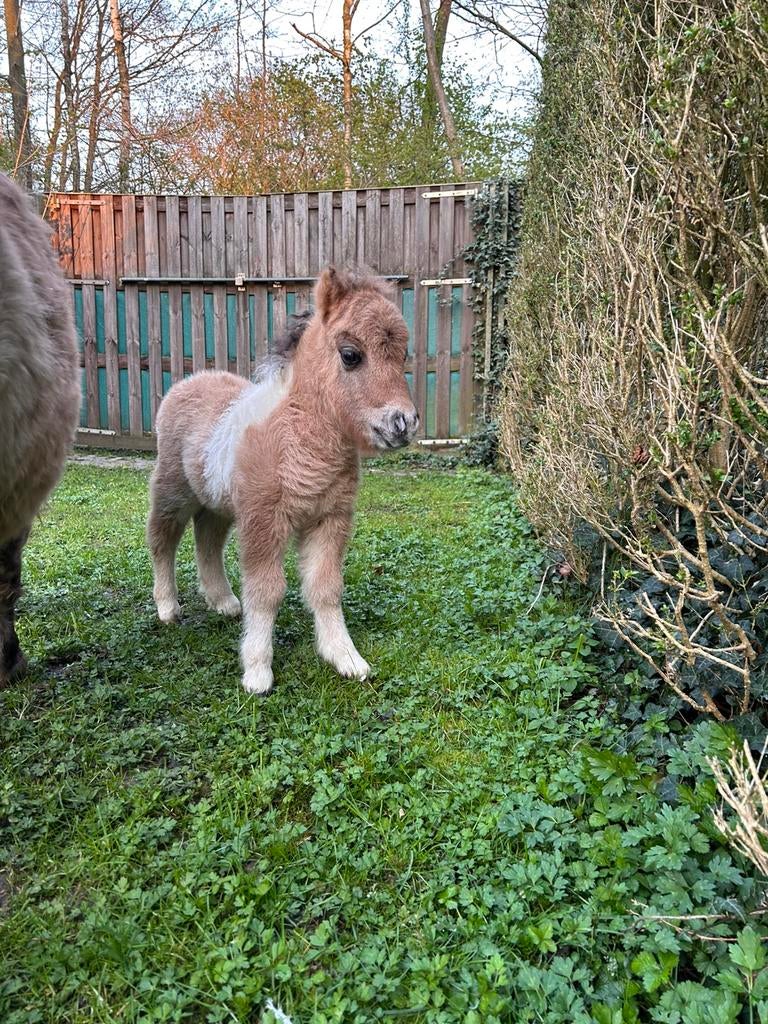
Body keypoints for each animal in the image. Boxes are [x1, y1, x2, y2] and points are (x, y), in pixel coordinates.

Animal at [147, 267, 419, 695]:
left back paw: (223, 602)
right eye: (351, 355)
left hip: (219, 503)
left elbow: (326, 588)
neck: (299, 437)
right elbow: (266, 591)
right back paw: (167, 608)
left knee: (207, 538)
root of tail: (189, 381)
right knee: (162, 538)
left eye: (403, 354)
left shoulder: (330, 520)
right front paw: (258, 672)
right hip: (172, 490)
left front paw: (345, 657)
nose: (403, 423)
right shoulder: (264, 521)